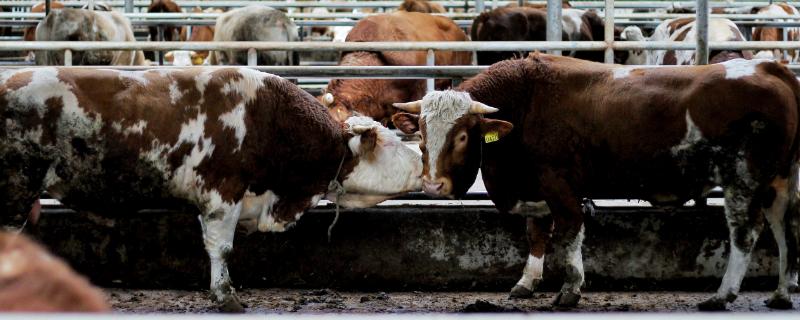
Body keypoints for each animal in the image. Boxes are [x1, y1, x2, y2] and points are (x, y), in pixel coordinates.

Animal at [0, 66, 424, 312]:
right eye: (389, 144)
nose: (422, 163)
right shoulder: (224, 191)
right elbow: (221, 247)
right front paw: (226, 296)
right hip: (15, 186)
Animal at [392, 53, 800, 312]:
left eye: (463, 136)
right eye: (422, 136)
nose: (433, 188)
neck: (527, 102)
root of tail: (769, 67)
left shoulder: (559, 184)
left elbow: (570, 230)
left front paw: (570, 289)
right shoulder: (536, 187)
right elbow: (537, 233)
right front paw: (527, 282)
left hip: (742, 178)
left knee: (746, 232)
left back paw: (722, 296)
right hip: (780, 180)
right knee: (785, 226)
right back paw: (781, 293)